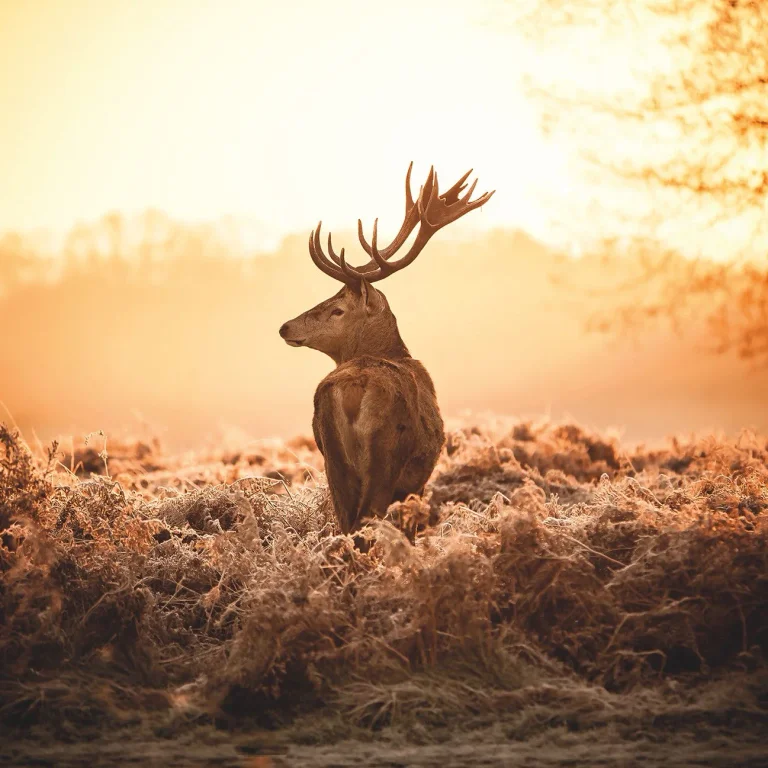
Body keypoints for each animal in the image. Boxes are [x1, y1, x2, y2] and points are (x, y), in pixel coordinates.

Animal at [279, 163, 494, 537]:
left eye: (337, 309)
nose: (285, 327)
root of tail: (352, 389)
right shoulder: (417, 481)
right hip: (386, 457)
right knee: (366, 521)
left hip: (332, 460)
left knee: (346, 522)